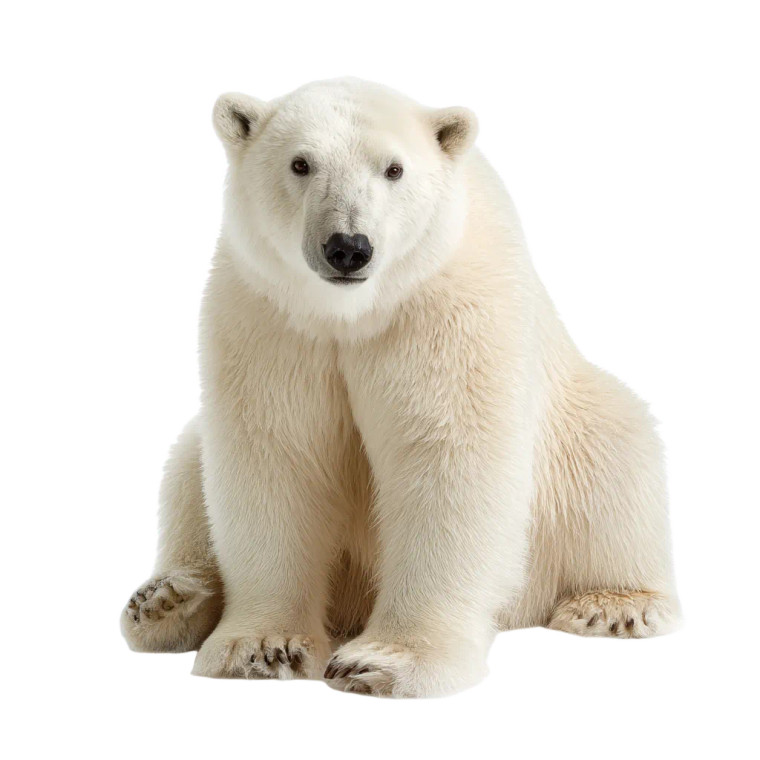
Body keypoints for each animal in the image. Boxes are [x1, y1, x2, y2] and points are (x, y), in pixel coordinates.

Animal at [121, 78, 680, 697]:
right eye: (300, 163)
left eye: (393, 169)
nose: (348, 246)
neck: (351, 313)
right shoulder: (270, 317)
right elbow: (274, 456)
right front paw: (263, 648)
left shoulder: (442, 308)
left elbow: (444, 456)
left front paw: (379, 664)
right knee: (187, 464)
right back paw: (168, 601)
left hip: (575, 440)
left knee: (616, 456)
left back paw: (613, 605)